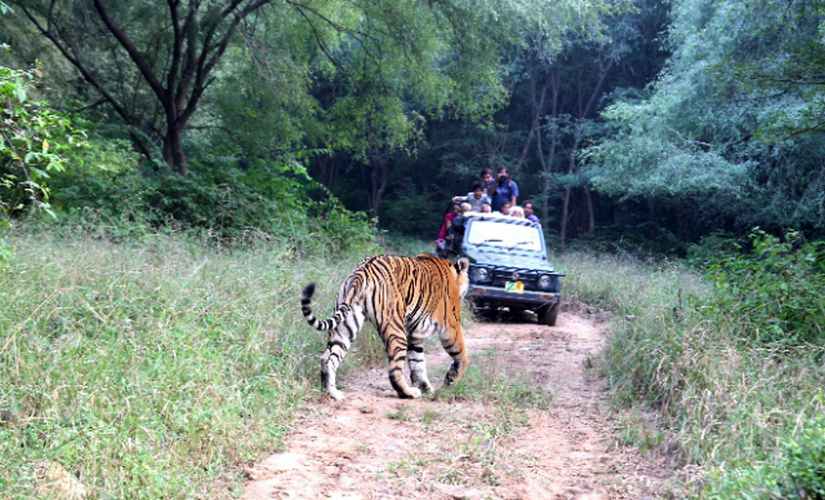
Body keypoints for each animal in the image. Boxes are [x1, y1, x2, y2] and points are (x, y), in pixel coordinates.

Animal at [300, 254, 470, 401]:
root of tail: (363, 270)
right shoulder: (451, 325)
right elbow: (461, 354)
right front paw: (451, 379)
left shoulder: (415, 333)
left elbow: (418, 361)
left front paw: (427, 388)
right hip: (396, 329)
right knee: (394, 370)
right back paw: (408, 393)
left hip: (346, 325)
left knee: (327, 358)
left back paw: (332, 393)